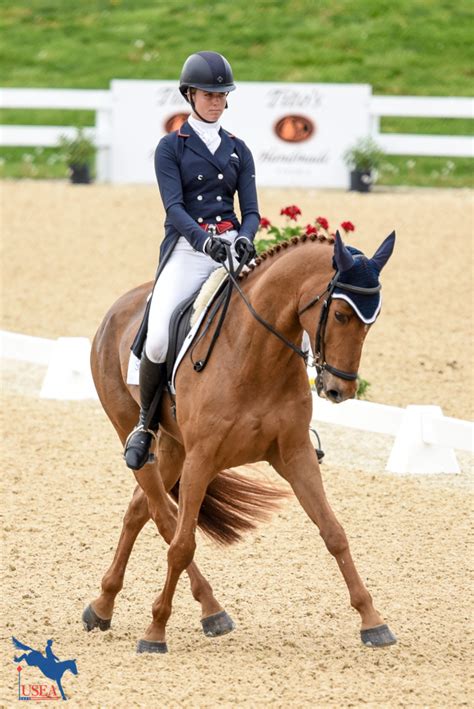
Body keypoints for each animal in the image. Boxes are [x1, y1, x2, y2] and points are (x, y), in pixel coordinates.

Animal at [84, 230, 396, 648]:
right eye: (341, 315)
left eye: (372, 321)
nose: (339, 390)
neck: (255, 355)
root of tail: (118, 308)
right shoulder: (202, 460)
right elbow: (182, 545)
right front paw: (155, 632)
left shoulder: (294, 454)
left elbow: (334, 533)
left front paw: (372, 621)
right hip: (134, 433)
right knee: (164, 516)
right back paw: (193, 609)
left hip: (172, 447)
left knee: (140, 509)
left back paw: (110, 606)